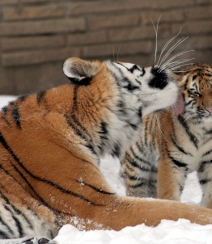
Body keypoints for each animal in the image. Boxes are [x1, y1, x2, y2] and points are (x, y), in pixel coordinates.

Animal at [121, 63, 212, 206]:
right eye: (195, 92)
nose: (211, 109)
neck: (203, 129)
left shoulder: (209, 162)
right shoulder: (171, 162)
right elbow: (169, 194)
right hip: (137, 167)